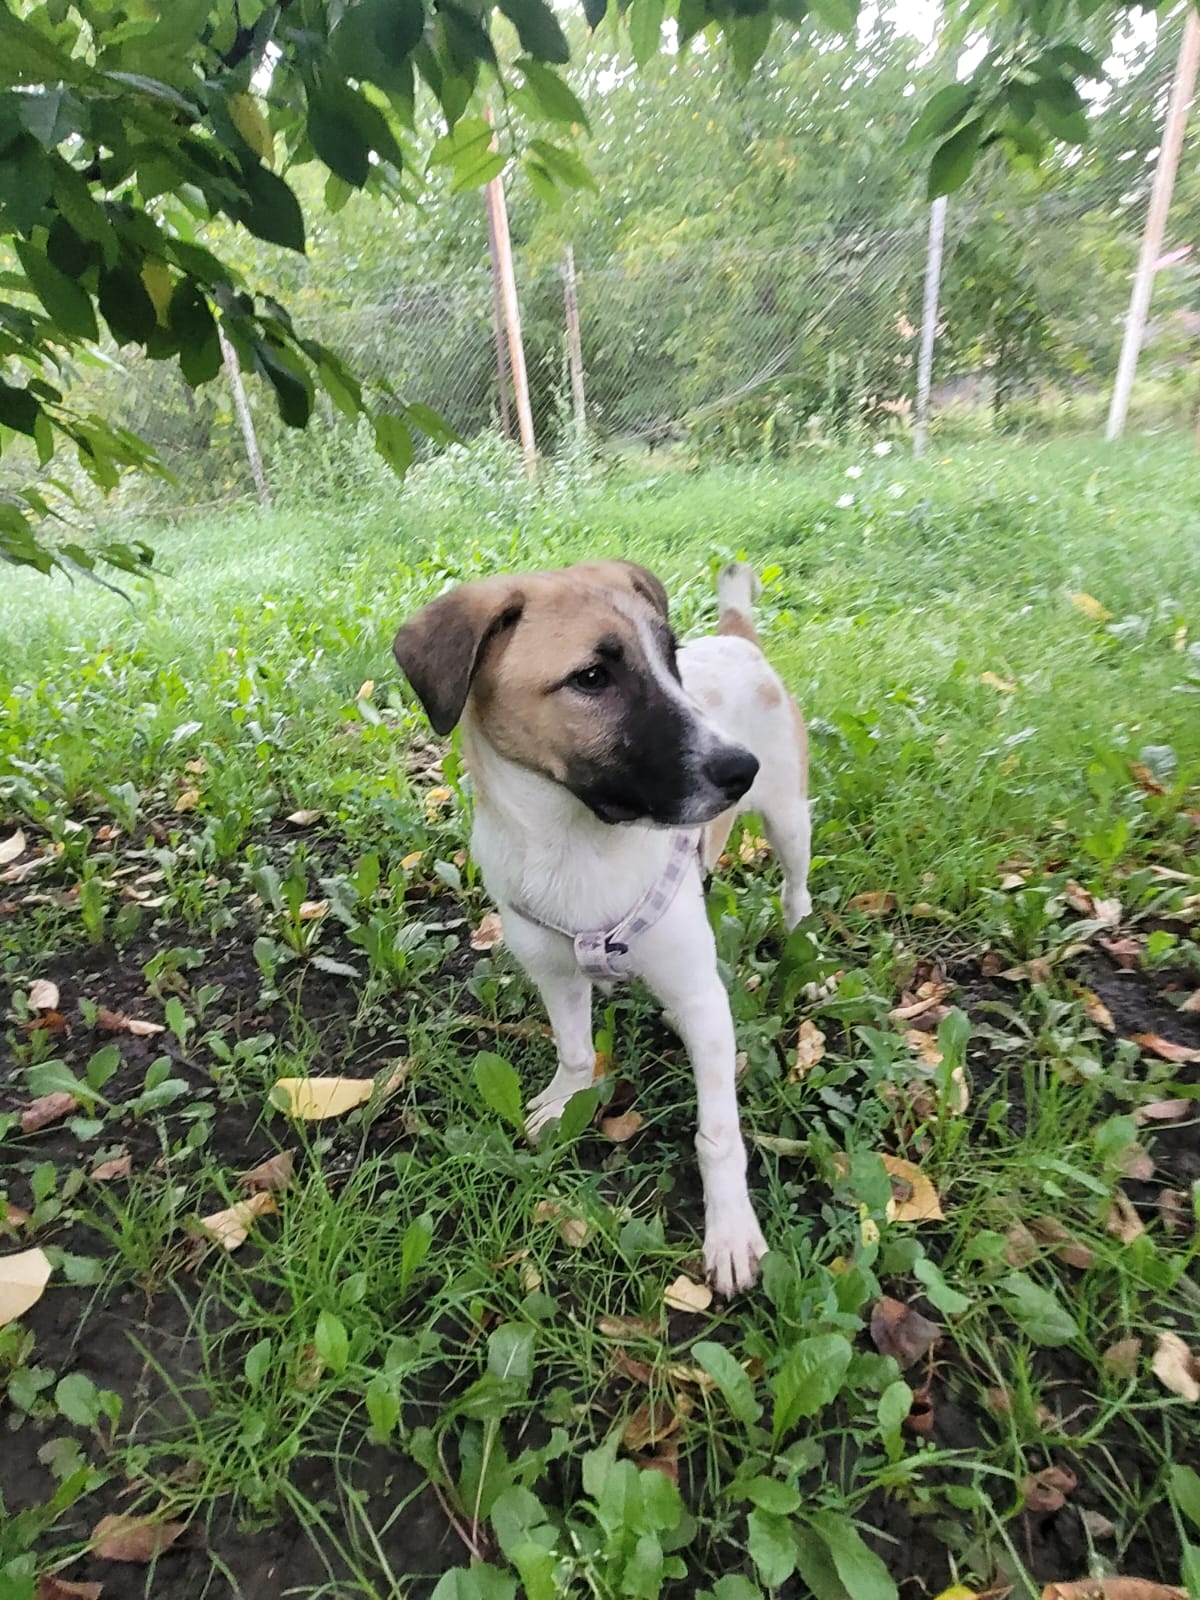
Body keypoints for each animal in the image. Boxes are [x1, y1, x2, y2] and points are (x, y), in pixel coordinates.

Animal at [393, 560, 811, 1294]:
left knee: (796, 890)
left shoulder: (703, 999)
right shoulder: (552, 970)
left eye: (670, 660)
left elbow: (718, 1134)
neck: (575, 845)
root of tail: (738, 639)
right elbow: (575, 1050)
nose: (740, 769)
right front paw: (565, 1099)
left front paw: (730, 1228)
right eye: (592, 677)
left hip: (789, 816)